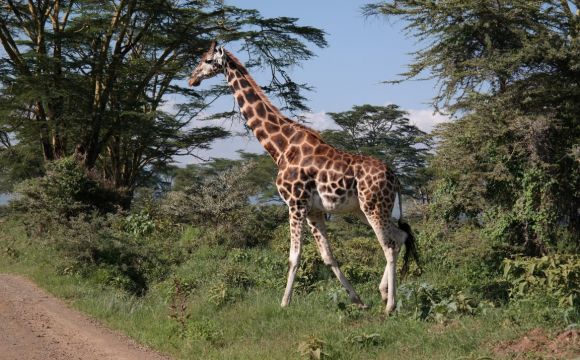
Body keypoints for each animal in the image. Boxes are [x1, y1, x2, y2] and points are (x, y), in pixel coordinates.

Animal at [188, 40, 420, 314]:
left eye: (207, 60)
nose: (191, 79)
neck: (281, 147)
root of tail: (396, 178)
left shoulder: (295, 204)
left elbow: (294, 257)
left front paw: (284, 302)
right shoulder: (314, 210)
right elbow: (328, 257)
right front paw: (358, 301)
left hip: (373, 207)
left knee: (389, 245)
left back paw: (391, 305)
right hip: (363, 210)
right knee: (400, 236)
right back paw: (383, 293)